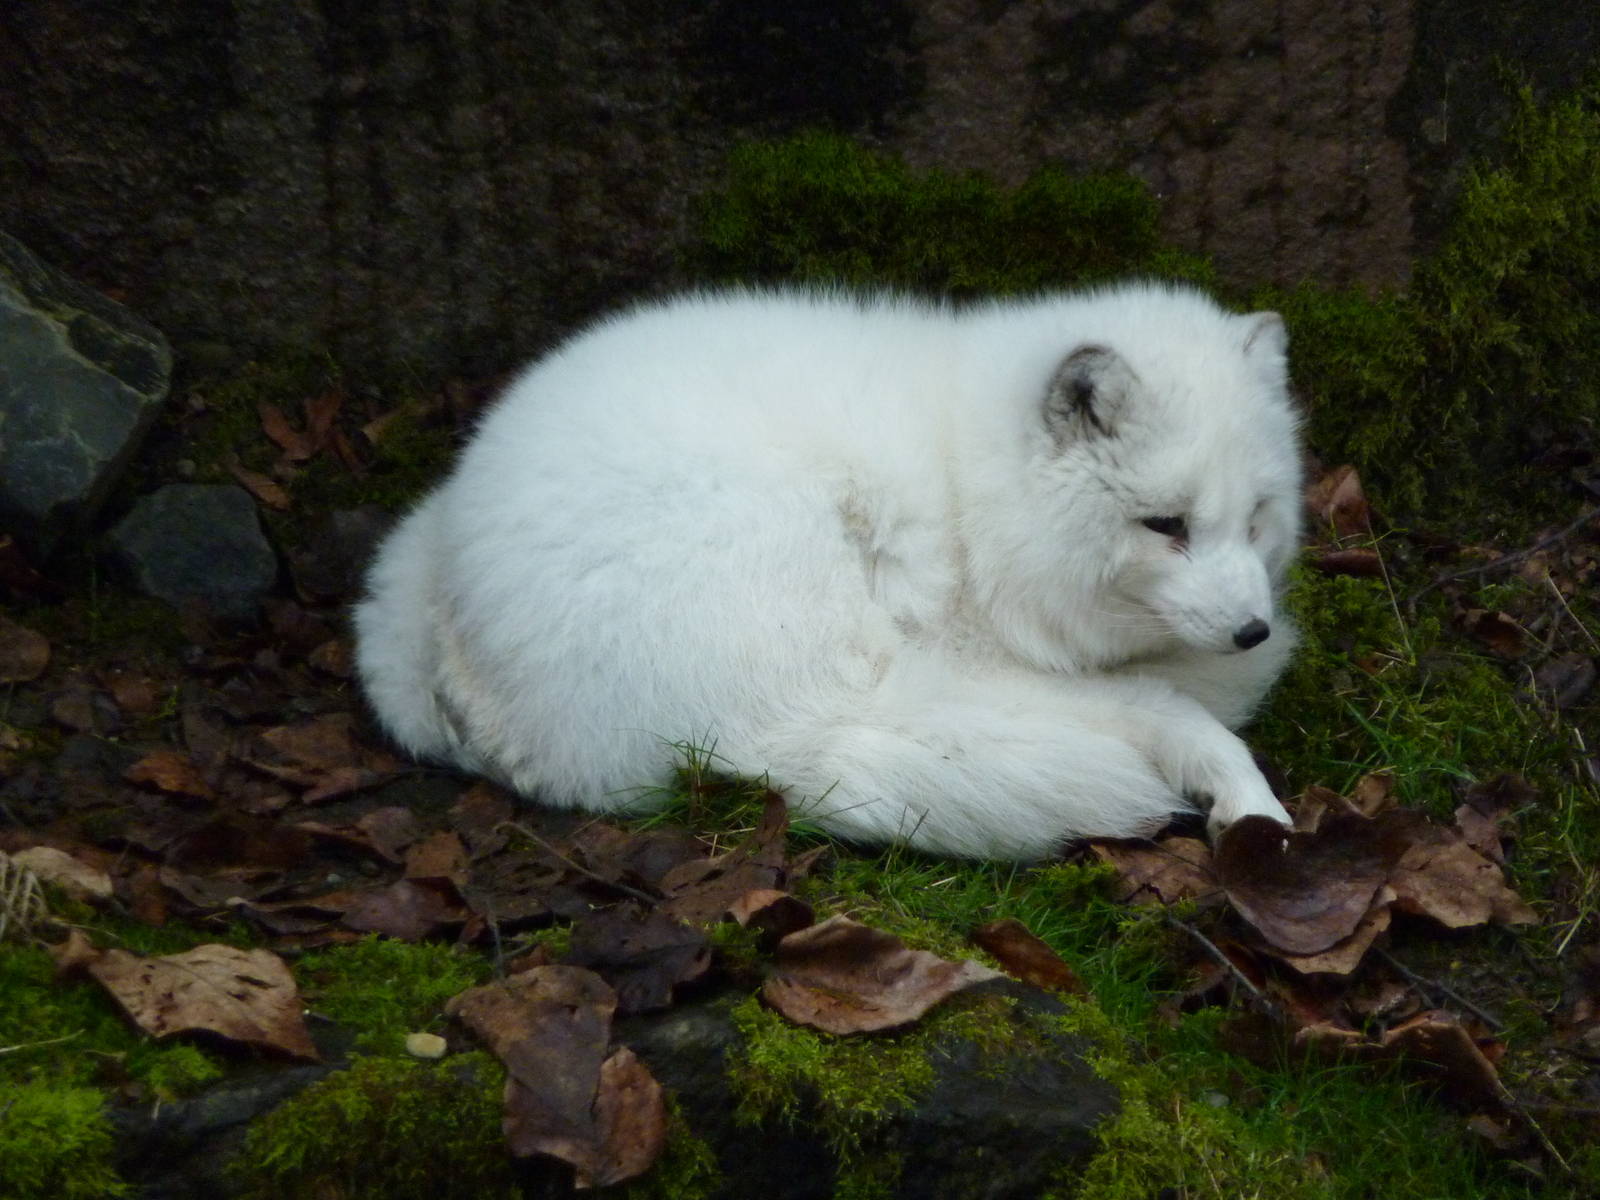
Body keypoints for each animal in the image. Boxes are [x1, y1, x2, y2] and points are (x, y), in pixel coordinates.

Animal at [354, 283, 1302, 859]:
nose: (1252, 630)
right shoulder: (969, 651)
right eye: (1165, 525)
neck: (972, 492)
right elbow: (1161, 703)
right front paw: (1244, 791)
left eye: (1256, 516)